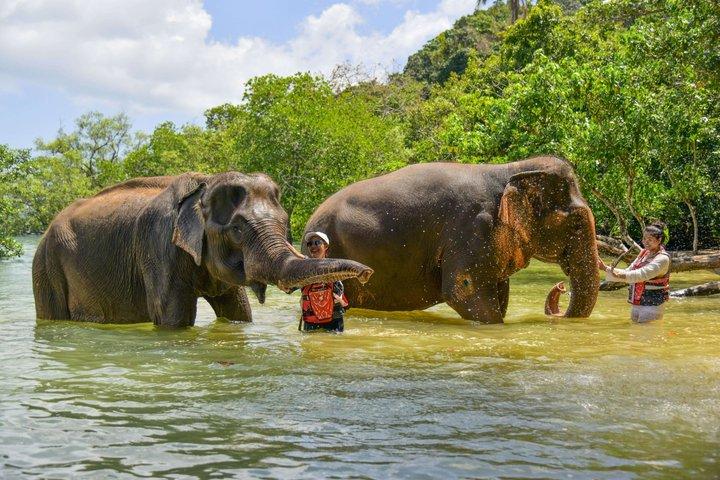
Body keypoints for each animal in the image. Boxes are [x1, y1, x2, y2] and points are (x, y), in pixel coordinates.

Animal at [33, 172, 373, 327]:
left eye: (285, 221)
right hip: (46, 267)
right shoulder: (158, 246)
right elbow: (173, 317)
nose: (367, 273)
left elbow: (238, 310)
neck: (203, 185)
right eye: (237, 229)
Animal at [303, 156, 600, 323]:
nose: (560, 287)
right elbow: (464, 289)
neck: (509, 170)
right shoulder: (471, 229)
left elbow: (499, 291)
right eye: (576, 224)